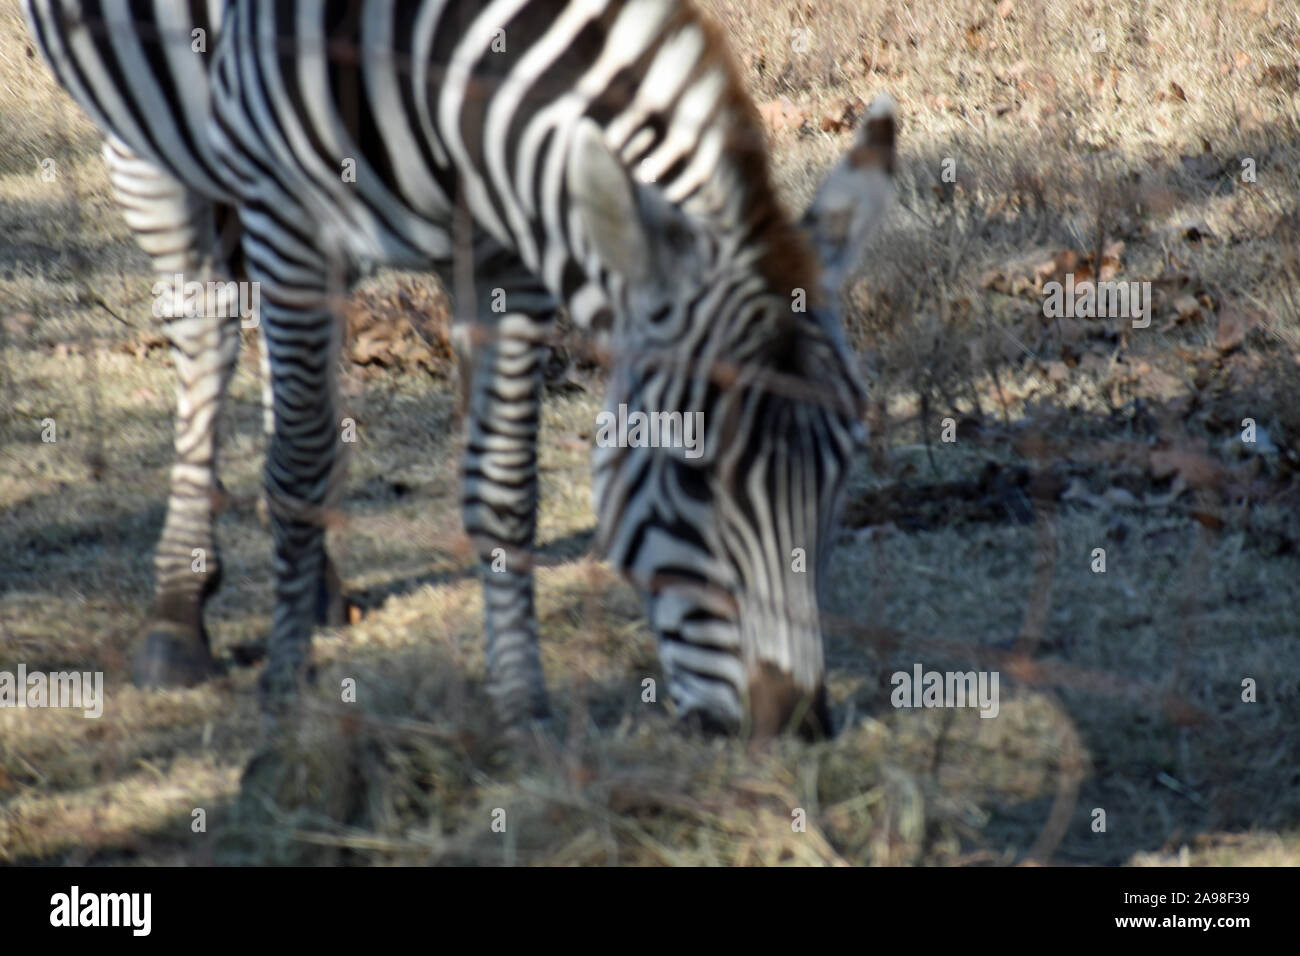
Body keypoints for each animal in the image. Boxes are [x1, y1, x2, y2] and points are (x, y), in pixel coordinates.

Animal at [24, 0, 896, 737]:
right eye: (692, 478)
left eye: (845, 466)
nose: (796, 728)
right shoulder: (290, 212)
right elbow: (298, 457)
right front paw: (284, 697)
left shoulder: (511, 248)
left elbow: (504, 486)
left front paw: (522, 708)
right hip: (149, 140)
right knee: (208, 333)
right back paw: (179, 608)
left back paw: (320, 584)